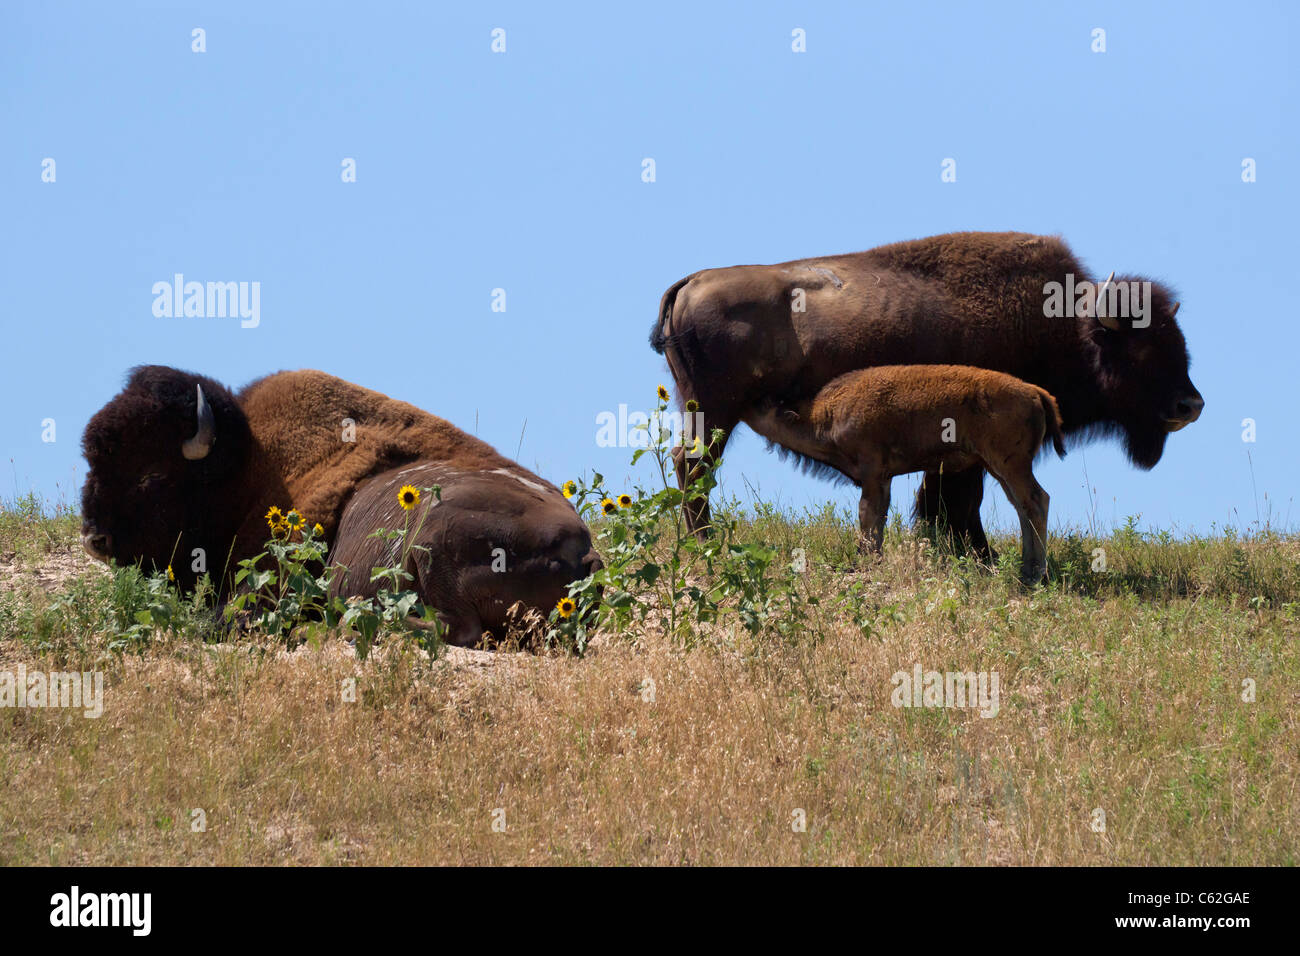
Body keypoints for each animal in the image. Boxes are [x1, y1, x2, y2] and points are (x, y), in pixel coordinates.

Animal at [76, 364, 595, 642]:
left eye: (151, 474)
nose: (94, 538)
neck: (247, 466)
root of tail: (583, 552)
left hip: (434, 538)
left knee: (454, 629)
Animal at [650, 231, 1206, 556]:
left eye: (1178, 341)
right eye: (1140, 349)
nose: (1190, 405)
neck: (1064, 324)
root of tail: (690, 283)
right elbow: (961, 501)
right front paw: (978, 556)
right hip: (715, 414)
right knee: (693, 466)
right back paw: (707, 547)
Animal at [754, 366, 1066, 587]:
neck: (826, 414)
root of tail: (1036, 392)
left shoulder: (872, 473)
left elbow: (868, 517)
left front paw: (864, 561)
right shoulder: (883, 478)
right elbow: (878, 519)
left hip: (1010, 465)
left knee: (1037, 501)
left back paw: (1035, 575)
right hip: (998, 469)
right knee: (1022, 508)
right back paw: (1026, 569)